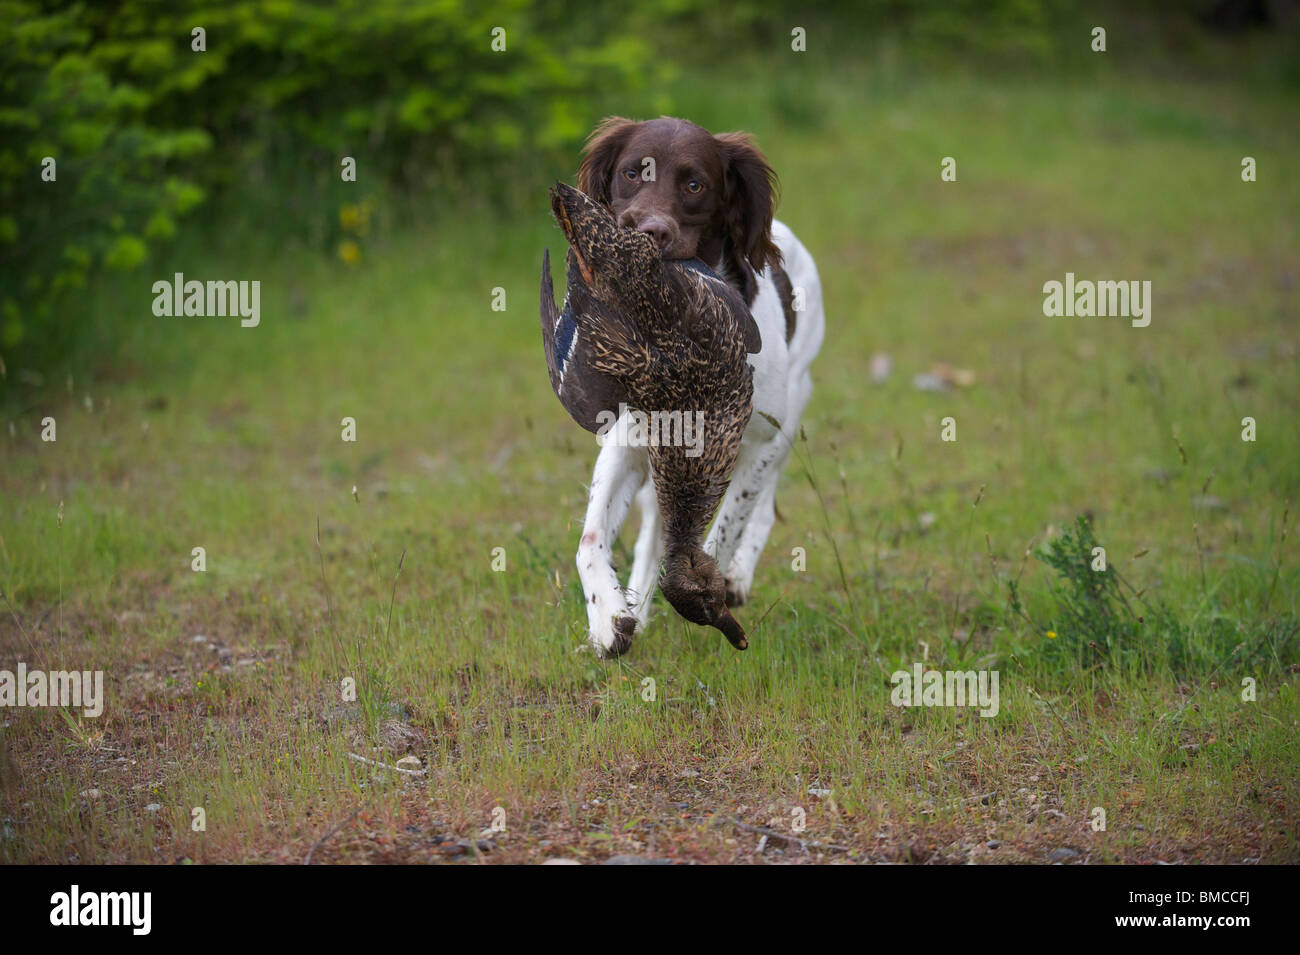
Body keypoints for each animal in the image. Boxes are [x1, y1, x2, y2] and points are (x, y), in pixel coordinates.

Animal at [572, 115, 821, 657]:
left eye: (694, 185)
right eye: (630, 173)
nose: (649, 232)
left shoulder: (756, 442)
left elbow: (724, 528)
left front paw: (707, 588)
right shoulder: (629, 440)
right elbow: (590, 539)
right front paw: (608, 618)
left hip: (790, 414)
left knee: (761, 508)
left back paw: (736, 577)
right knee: (651, 533)